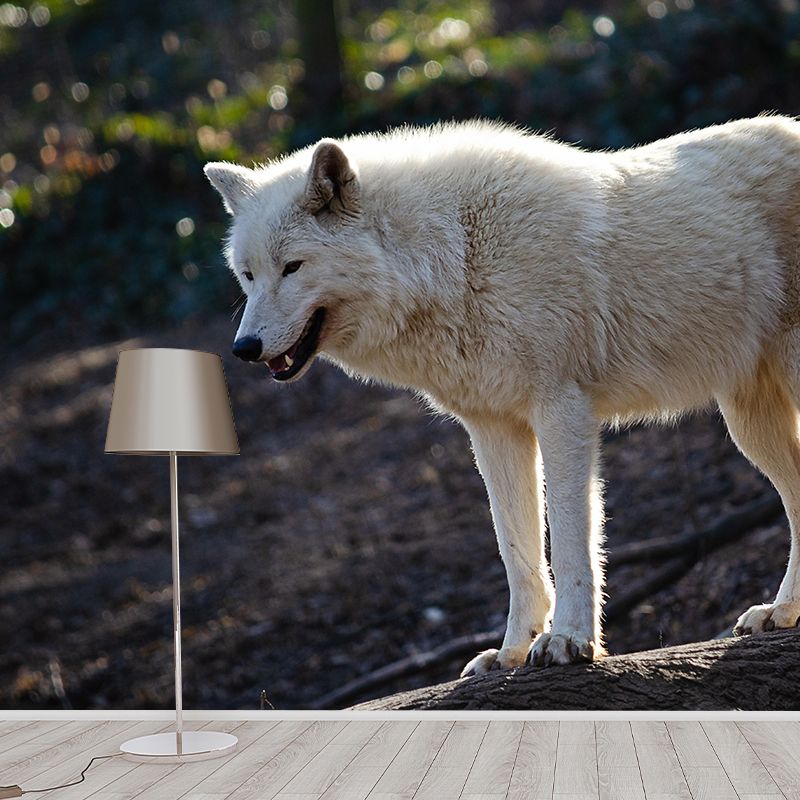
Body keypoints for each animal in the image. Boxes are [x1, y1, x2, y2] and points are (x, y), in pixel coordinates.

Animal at [205, 115, 800, 675]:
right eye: (248, 275)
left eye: (293, 266)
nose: (244, 347)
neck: (455, 255)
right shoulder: (493, 428)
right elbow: (516, 551)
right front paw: (512, 651)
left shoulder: (562, 412)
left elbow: (570, 539)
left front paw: (569, 641)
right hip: (748, 424)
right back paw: (781, 613)